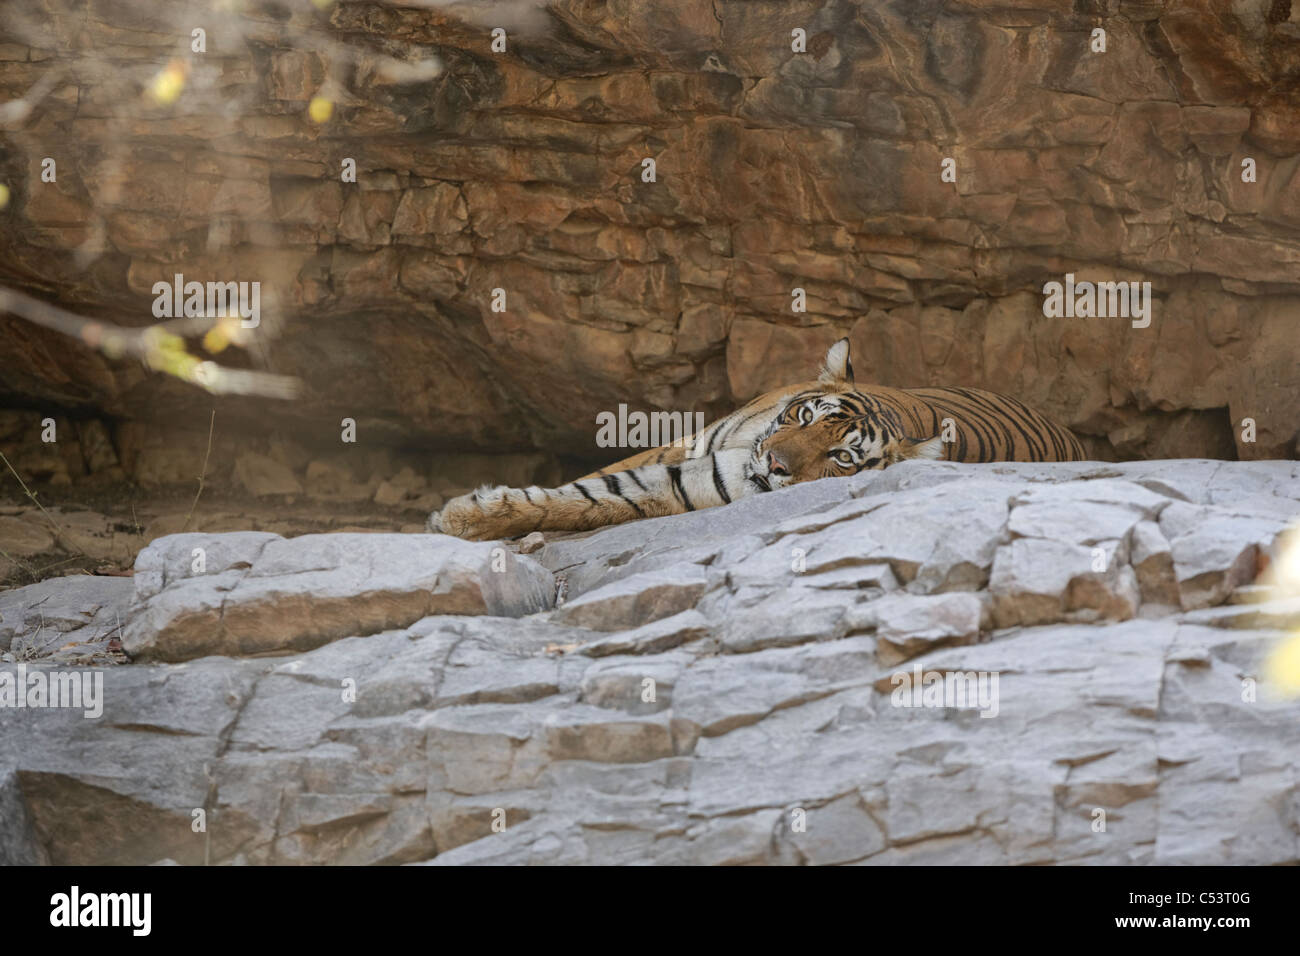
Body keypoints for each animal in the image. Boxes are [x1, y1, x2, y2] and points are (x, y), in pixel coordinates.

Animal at [429, 338, 1087, 541]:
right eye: (805, 416)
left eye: (842, 458)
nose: (774, 464)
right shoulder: (684, 453)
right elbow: (590, 489)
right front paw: (462, 518)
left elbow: (604, 500)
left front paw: (459, 517)